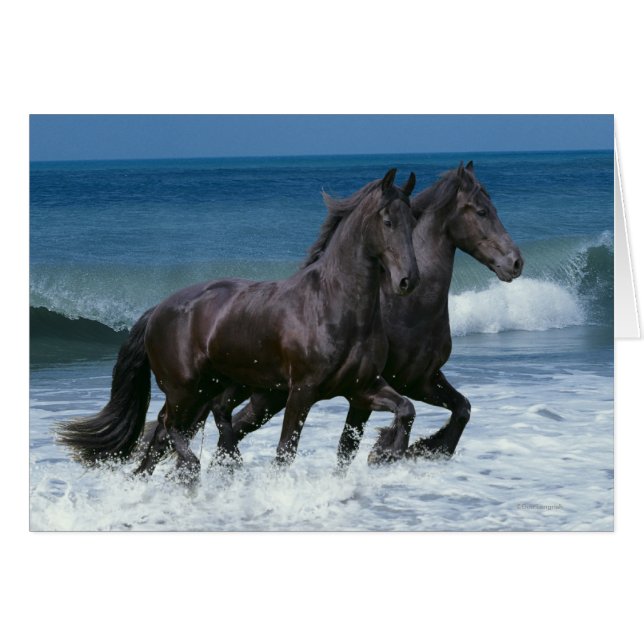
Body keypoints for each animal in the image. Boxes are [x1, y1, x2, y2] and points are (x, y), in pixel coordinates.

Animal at [57, 168, 421, 483]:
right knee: (168, 425)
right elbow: (286, 451)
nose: (408, 280)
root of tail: (157, 310)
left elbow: (397, 415)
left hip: (222, 388)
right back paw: (195, 469)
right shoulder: (302, 392)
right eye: (388, 221)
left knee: (178, 430)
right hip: (186, 389)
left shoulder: (361, 390)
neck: (335, 308)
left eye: (414, 221)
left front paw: (387, 453)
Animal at [217, 161, 524, 467]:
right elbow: (347, 448)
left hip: (269, 395)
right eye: (482, 211)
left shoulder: (422, 381)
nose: (516, 262)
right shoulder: (367, 393)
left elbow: (462, 408)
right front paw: (385, 451)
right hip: (265, 394)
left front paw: (420, 449)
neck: (411, 309)